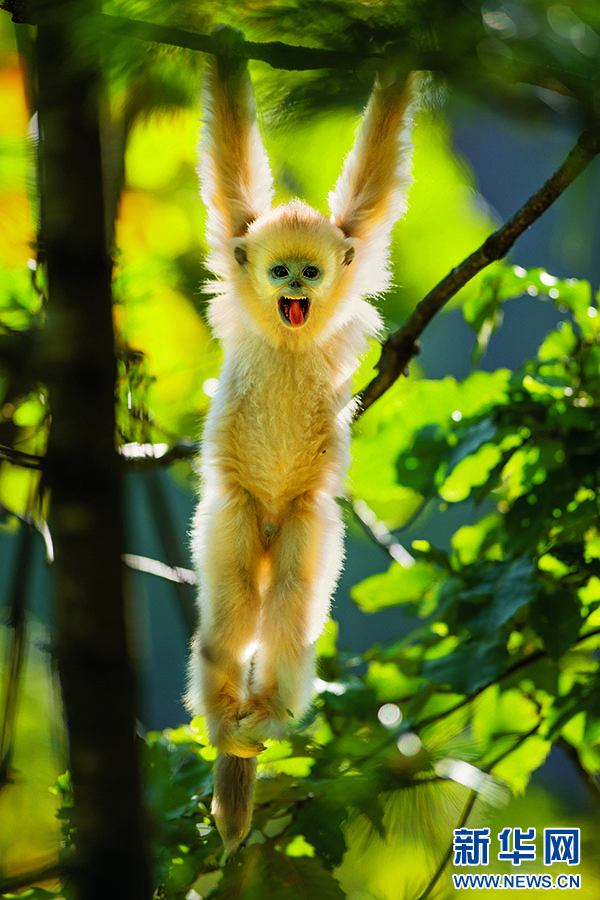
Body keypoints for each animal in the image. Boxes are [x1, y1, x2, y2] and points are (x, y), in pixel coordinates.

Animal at [186, 30, 414, 856]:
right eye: (278, 268)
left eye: (309, 271)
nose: (292, 288)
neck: (289, 334)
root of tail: (270, 518)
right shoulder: (234, 239)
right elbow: (230, 171)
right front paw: (224, 47)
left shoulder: (358, 248)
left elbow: (375, 174)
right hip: (233, 514)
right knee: (228, 613)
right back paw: (227, 722)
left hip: (306, 522)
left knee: (287, 608)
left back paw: (266, 717)